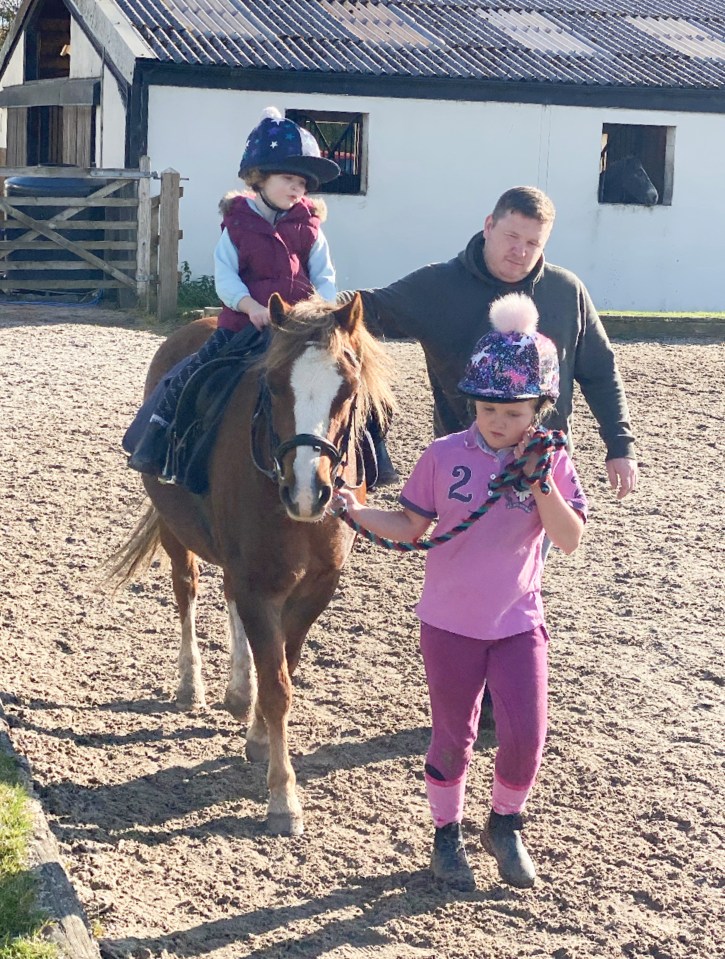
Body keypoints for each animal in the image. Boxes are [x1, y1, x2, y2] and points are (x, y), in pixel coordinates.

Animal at [109, 290, 394, 832]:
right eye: (273, 386)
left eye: (346, 390)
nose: (306, 491)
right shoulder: (258, 581)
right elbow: (278, 684)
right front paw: (283, 798)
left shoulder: (315, 586)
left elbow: (284, 665)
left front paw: (259, 733)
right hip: (177, 530)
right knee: (187, 592)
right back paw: (192, 685)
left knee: (228, 601)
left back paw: (239, 693)